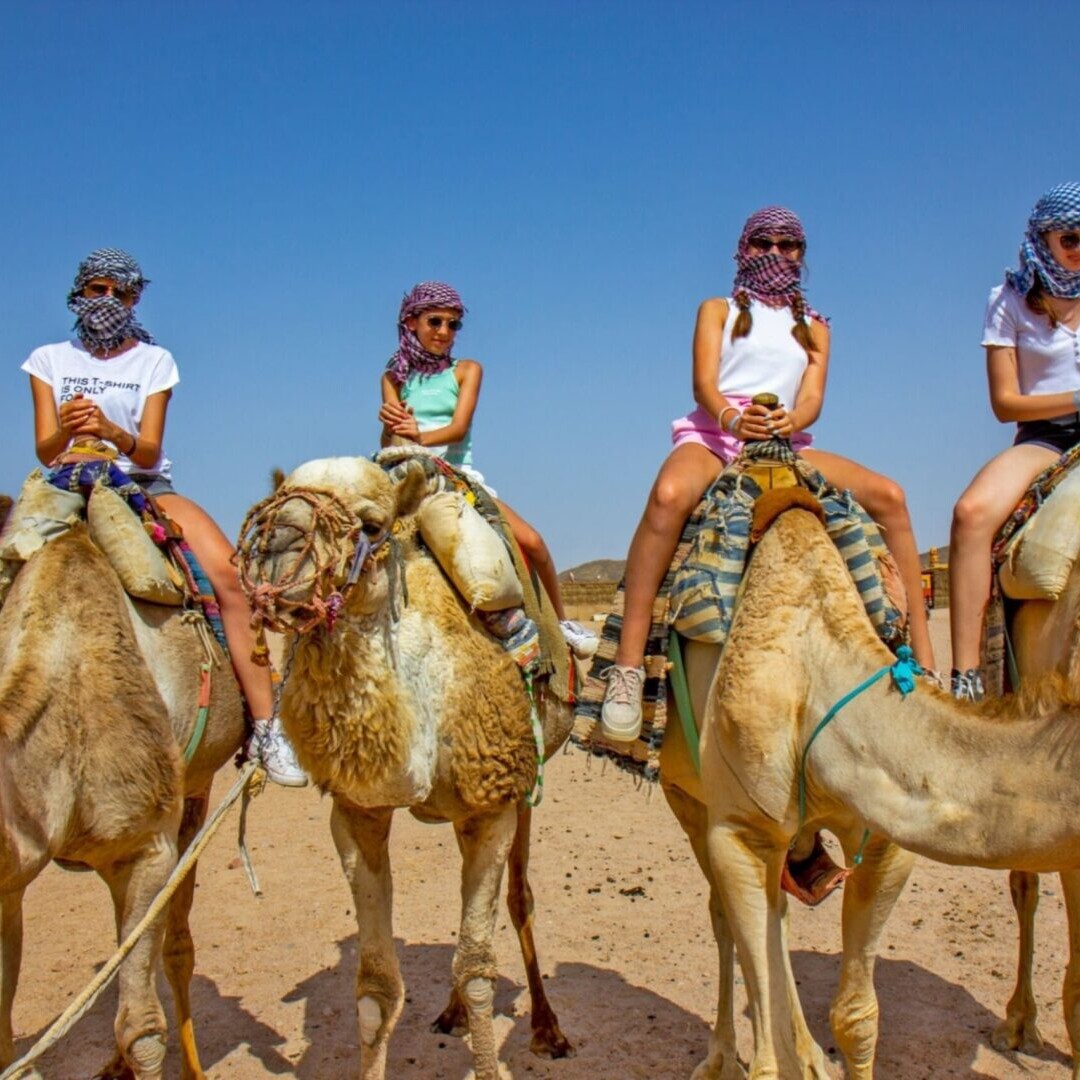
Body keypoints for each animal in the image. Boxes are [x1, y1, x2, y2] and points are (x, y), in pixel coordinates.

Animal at [236, 455, 574, 1080]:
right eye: (277, 501)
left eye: (371, 525)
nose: (275, 548)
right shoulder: (357, 813)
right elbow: (376, 985)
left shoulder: (493, 800)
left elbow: (478, 968)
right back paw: (452, 1014)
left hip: (521, 790)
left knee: (518, 902)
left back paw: (547, 1028)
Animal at [656, 492, 1080, 1080]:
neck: (815, 661)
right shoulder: (739, 831)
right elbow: (768, 1053)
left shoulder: (886, 836)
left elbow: (856, 1016)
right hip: (685, 796)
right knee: (725, 919)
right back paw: (721, 1058)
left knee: (777, 917)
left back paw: (810, 1057)